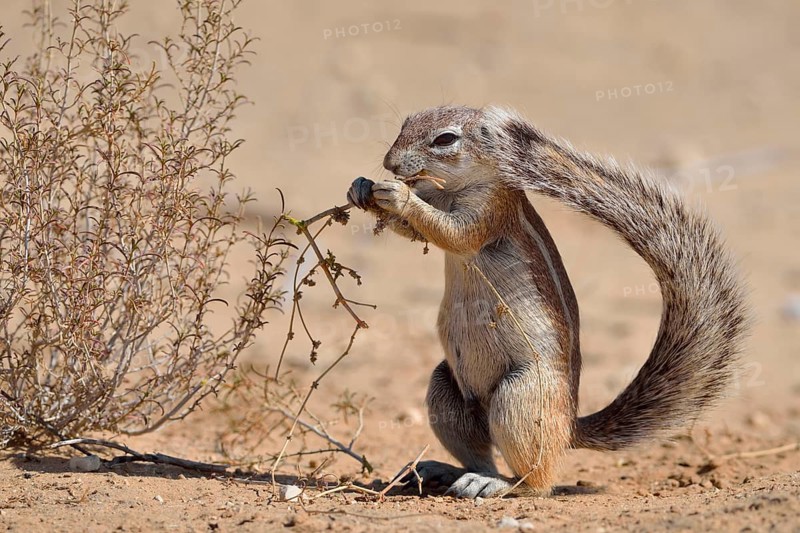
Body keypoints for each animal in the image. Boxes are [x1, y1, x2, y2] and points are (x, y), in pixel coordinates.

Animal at [346, 105, 749, 498]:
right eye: (406, 123)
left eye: (445, 139)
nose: (390, 163)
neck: (454, 188)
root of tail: (569, 428)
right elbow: (414, 231)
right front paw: (361, 187)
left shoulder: (489, 211)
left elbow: (452, 232)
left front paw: (398, 195)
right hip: (445, 388)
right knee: (480, 453)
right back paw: (447, 472)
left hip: (520, 397)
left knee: (536, 482)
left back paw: (495, 485)